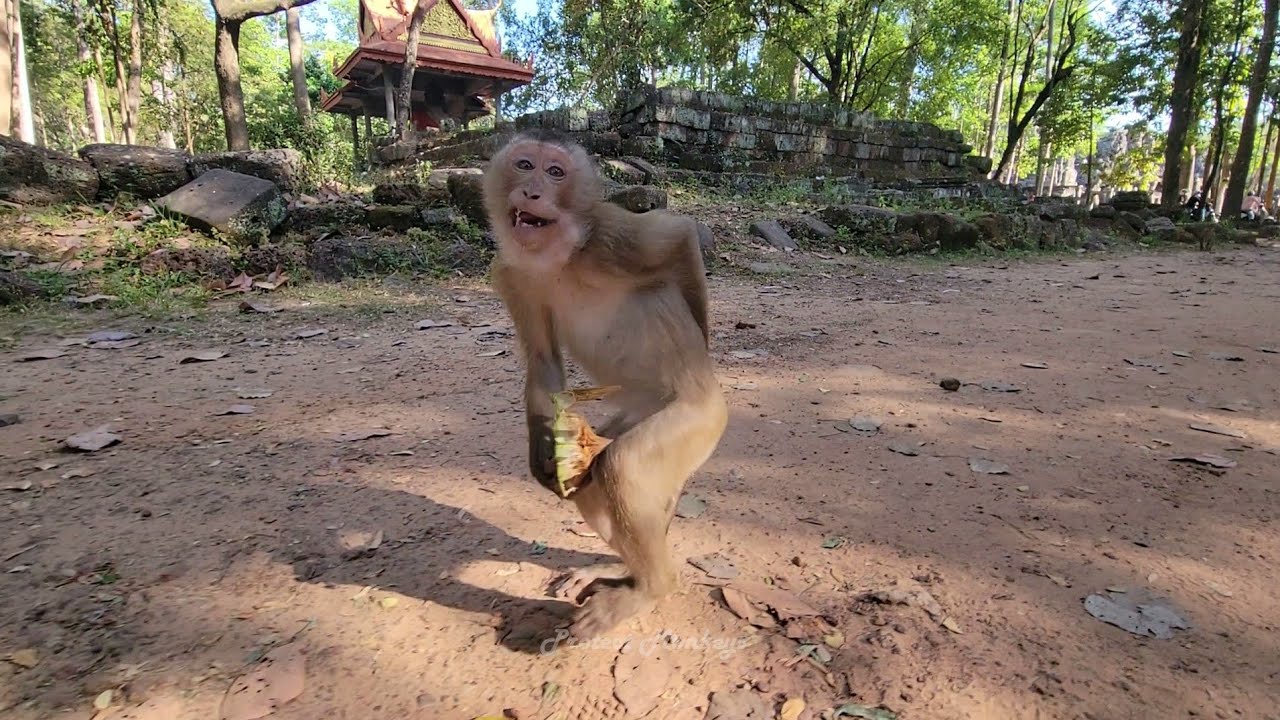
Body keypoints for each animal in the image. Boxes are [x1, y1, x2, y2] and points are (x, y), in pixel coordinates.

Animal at [483, 129, 729, 640]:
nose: (531, 192)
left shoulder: (611, 236)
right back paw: (624, 573)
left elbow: (680, 240)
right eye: (524, 165)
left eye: (555, 172)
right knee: (593, 478)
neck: (558, 256)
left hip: (700, 421)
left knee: (623, 466)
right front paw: (542, 448)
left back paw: (651, 588)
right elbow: (543, 361)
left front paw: (702, 337)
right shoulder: (512, 275)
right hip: (633, 412)